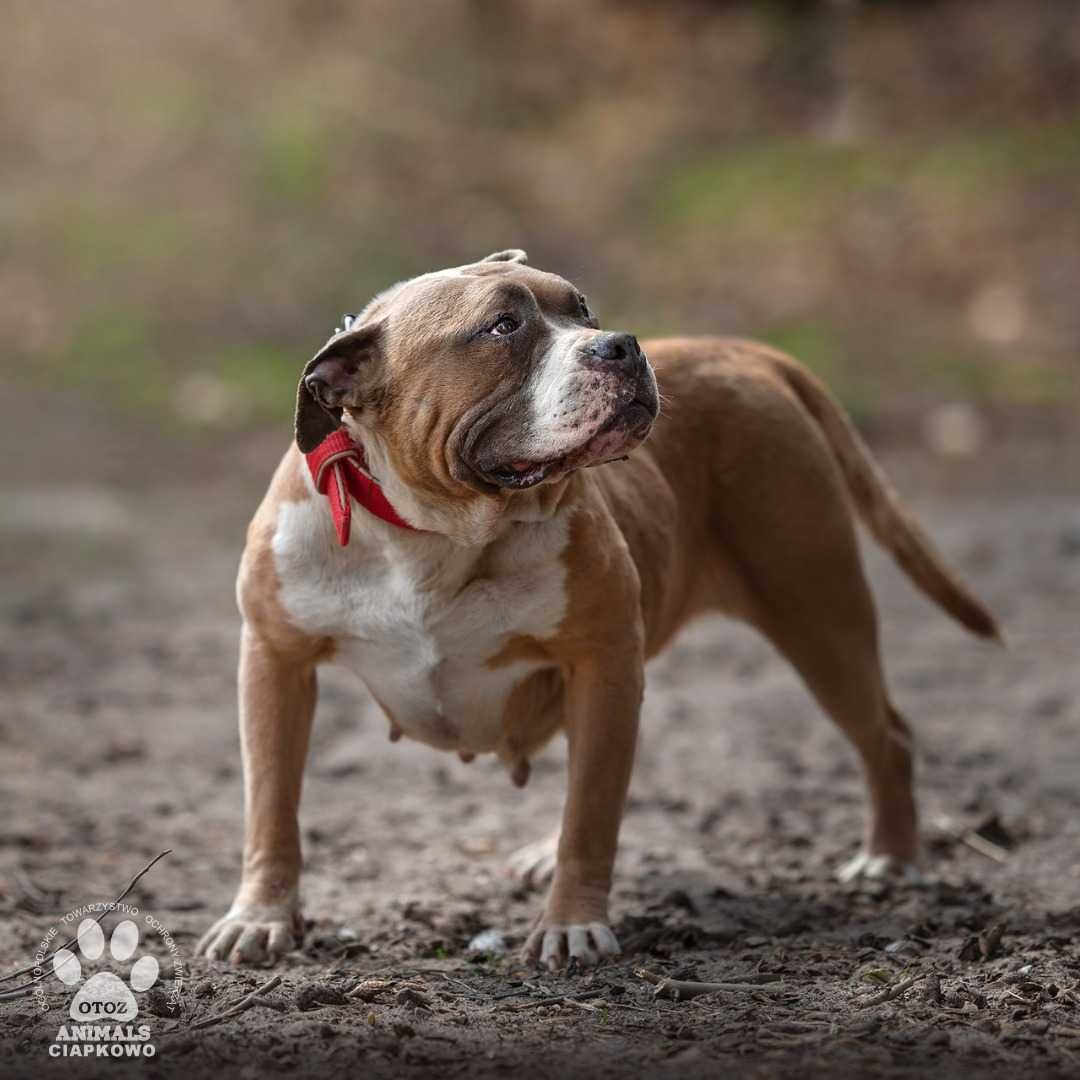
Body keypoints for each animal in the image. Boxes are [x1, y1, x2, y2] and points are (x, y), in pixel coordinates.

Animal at [194, 250, 993, 972]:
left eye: (584, 312)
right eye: (503, 327)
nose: (622, 344)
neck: (436, 532)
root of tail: (741, 352)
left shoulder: (602, 663)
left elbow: (591, 817)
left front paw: (573, 924)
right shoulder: (275, 663)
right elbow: (271, 808)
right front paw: (260, 917)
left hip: (818, 615)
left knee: (885, 734)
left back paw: (891, 860)